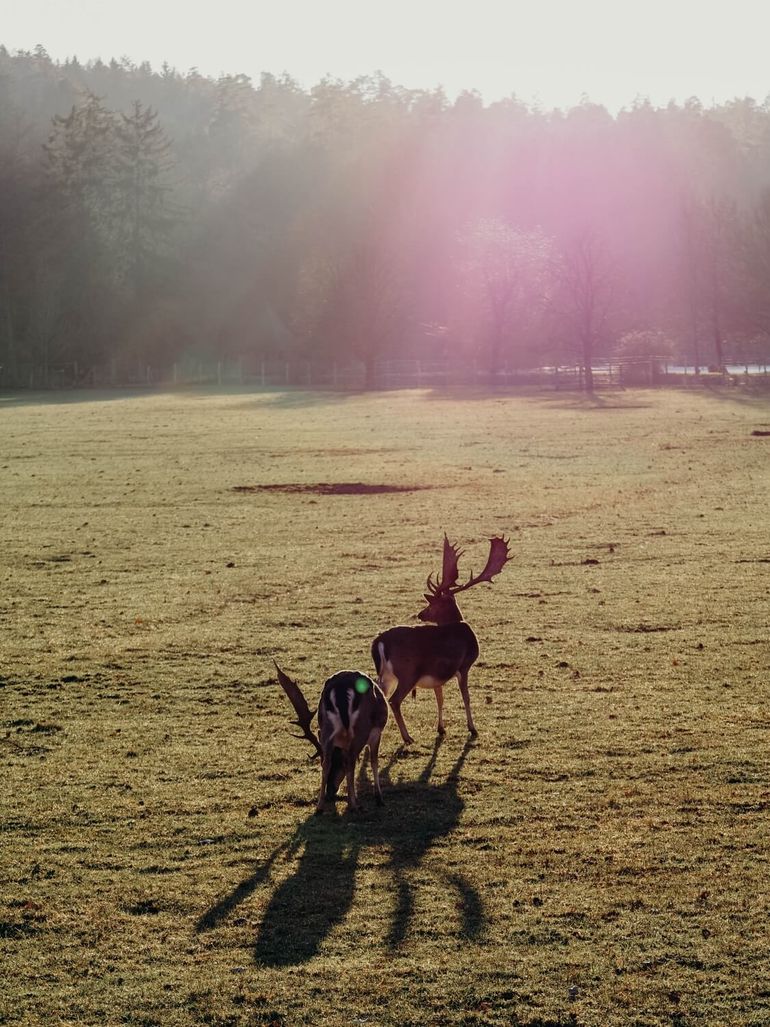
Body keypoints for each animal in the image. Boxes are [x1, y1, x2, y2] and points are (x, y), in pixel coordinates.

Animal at [273, 661, 392, 813]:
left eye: (338, 763)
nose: (330, 792)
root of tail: (341, 690)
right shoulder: (376, 734)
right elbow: (374, 762)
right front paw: (379, 799)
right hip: (361, 729)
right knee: (351, 760)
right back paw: (354, 806)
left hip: (326, 728)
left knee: (327, 762)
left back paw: (319, 807)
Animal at [373, 534, 513, 743]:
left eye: (432, 605)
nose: (421, 614)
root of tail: (380, 641)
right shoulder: (464, 664)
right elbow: (466, 697)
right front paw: (472, 728)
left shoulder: (436, 674)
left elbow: (440, 697)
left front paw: (441, 728)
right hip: (408, 672)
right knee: (394, 700)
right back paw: (407, 737)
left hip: (387, 675)